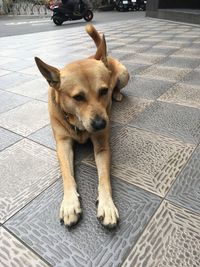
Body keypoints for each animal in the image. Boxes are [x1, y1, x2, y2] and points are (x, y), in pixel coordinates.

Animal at [34, 24, 130, 228]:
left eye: (103, 91)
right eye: (78, 97)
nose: (101, 124)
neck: (78, 125)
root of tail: (98, 56)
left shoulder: (102, 146)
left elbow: (104, 178)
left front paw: (107, 205)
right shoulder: (62, 144)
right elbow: (67, 175)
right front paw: (70, 203)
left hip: (124, 74)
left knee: (120, 85)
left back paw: (117, 94)